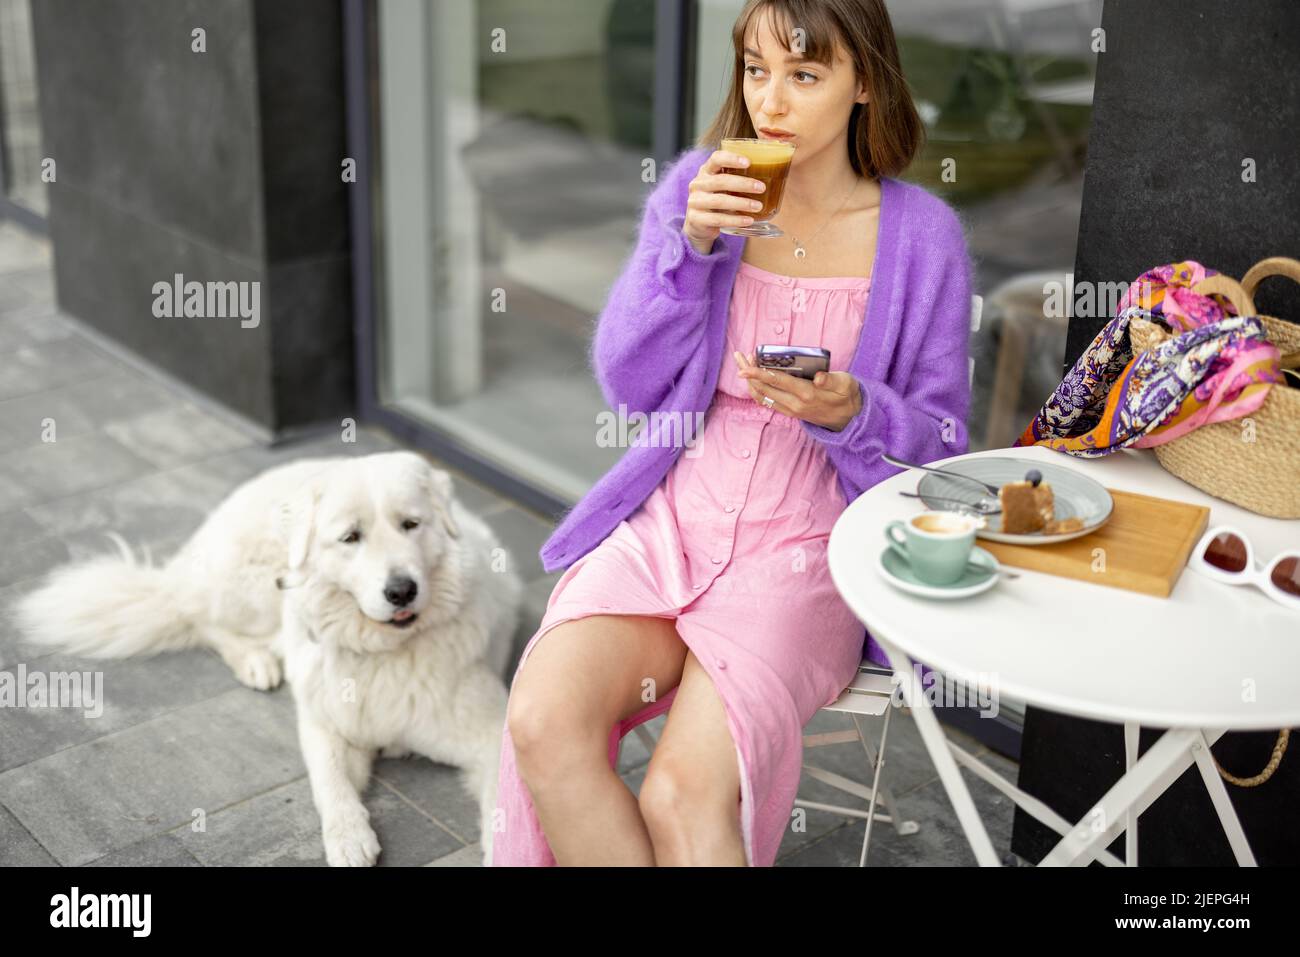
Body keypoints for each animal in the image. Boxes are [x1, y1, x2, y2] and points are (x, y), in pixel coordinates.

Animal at [13, 449, 522, 868]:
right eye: (351, 537)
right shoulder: (323, 724)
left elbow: (504, 802)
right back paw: (255, 662)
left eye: (411, 525)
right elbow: (328, 782)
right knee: (202, 619)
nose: (401, 590)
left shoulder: (492, 733)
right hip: (257, 590)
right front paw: (348, 837)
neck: (385, 651)